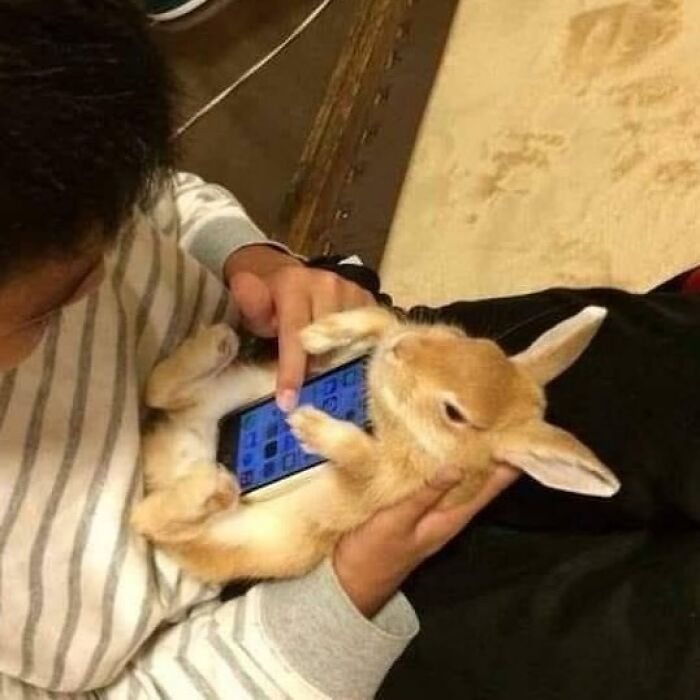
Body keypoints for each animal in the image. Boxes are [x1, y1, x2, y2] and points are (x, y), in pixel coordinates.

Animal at [131, 305, 620, 583]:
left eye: (454, 414)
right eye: (470, 341)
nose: (402, 350)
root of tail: (174, 452)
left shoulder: (390, 481)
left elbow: (364, 458)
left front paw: (309, 425)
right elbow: (376, 318)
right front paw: (314, 335)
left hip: (230, 534)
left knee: (146, 517)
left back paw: (210, 484)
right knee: (158, 391)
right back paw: (217, 343)